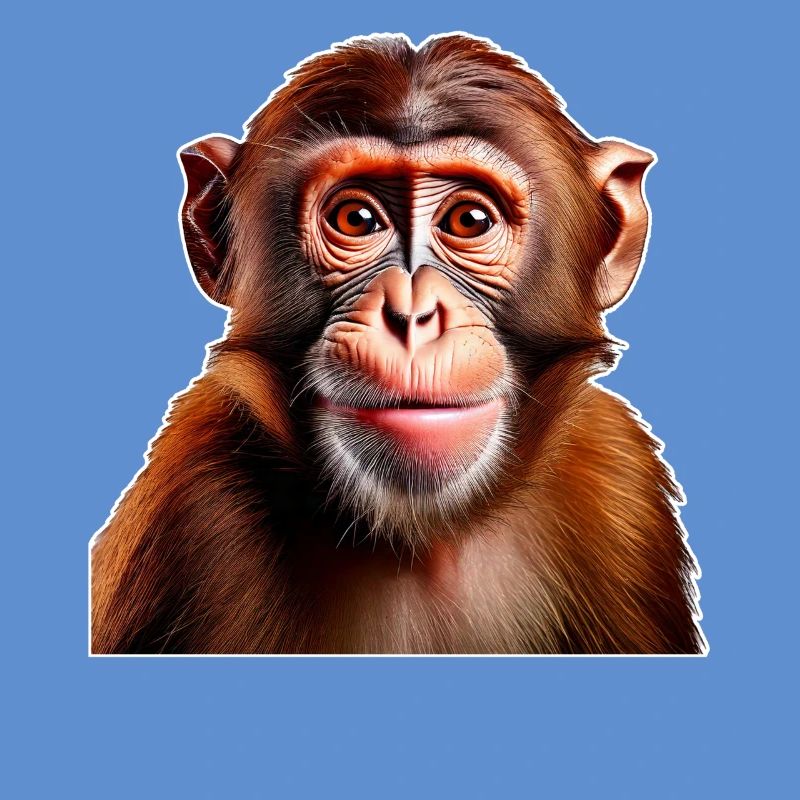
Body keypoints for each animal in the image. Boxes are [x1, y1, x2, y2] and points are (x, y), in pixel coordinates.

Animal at [90, 33, 705, 655]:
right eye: (356, 219)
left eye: (469, 219)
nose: (412, 314)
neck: (422, 540)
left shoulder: (619, 477)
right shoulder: (191, 505)